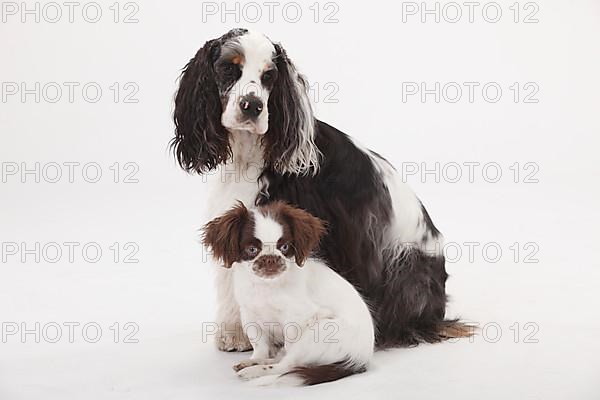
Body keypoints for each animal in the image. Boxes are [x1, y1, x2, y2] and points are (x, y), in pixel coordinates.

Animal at [203, 202, 376, 386]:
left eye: (284, 247)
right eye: (252, 249)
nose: (270, 258)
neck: (267, 287)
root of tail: (360, 360)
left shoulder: (296, 319)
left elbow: (286, 348)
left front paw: (257, 365)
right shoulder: (250, 315)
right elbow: (260, 346)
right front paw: (256, 358)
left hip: (319, 332)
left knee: (288, 365)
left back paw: (254, 371)